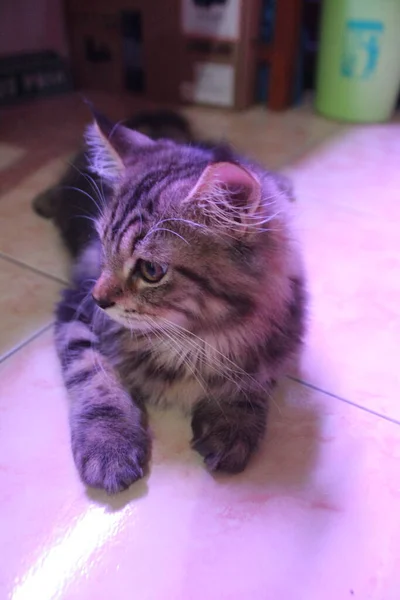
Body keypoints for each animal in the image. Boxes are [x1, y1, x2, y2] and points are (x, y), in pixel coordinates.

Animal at [52, 110, 306, 494]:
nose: (98, 299)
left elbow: (253, 377)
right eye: (103, 247)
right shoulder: (75, 309)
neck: (191, 338)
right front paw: (108, 443)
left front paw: (232, 422)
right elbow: (95, 377)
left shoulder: (281, 331)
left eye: (151, 270)